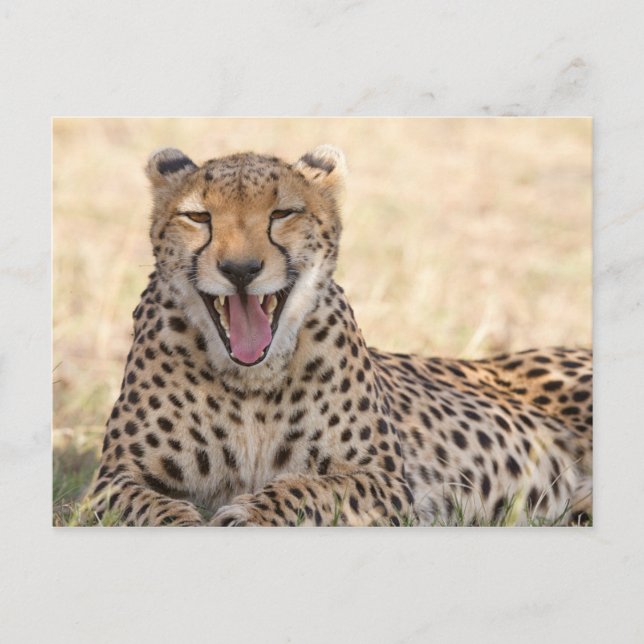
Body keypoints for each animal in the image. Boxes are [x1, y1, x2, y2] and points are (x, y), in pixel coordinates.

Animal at [86, 144, 592, 527]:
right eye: (198, 217)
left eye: (283, 213)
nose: (240, 270)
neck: (251, 382)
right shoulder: (112, 480)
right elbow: (151, 507)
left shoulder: (386, 482)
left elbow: (305, 489)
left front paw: (248, 515)